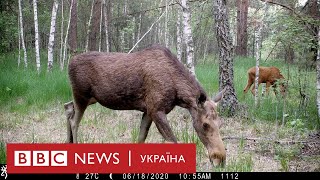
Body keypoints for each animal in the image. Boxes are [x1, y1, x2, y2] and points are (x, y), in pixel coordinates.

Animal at [63, 44, 226, 166]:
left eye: (220, 123)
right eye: (205, 124)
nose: (221, 159)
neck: (178, 94)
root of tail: (69, 63)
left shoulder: (148, 110)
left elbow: (141, 137)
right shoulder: (156, 110)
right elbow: (172, 141)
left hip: (91, 98)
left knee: (68, 107)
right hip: (81, 95)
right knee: (74, 121)